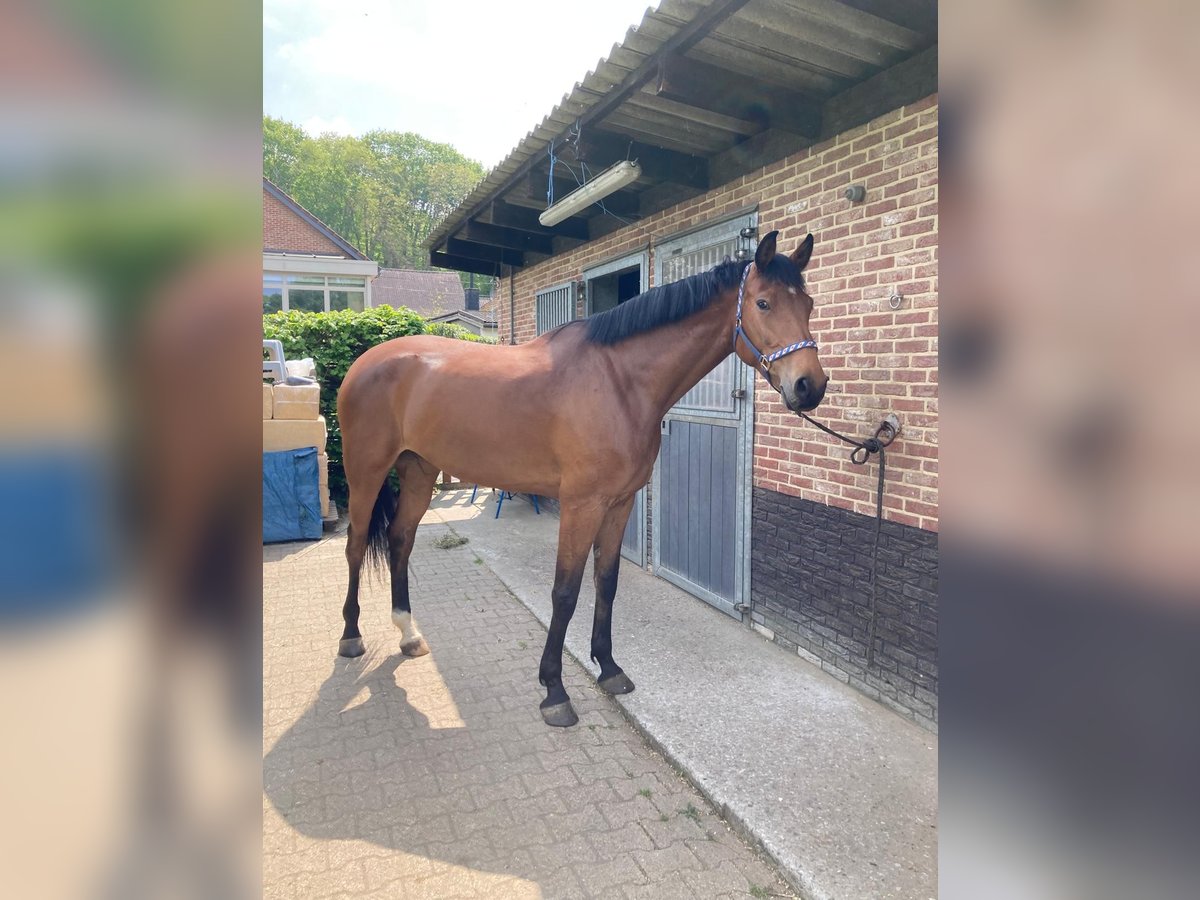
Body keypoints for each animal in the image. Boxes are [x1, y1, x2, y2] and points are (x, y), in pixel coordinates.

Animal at [338, 230, 825, 724]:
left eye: (807, 304)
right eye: (763, 303)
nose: (810, 386)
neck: (618, 382)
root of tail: (366, 361)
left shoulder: (620, 502)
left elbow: (605, 583)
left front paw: (608, 667)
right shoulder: (581, 505)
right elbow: (565, 591)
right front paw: (554, 689)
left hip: (419, 470)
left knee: (400, 540)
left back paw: (407, 633)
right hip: (366, 472)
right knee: (356, 546)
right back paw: (351, 636)